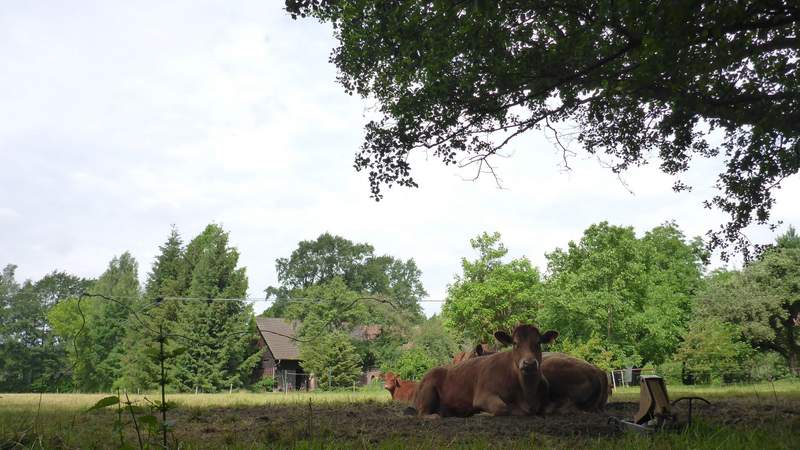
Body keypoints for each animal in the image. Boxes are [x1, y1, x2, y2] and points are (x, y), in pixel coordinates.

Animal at [412, 324, 556, 418]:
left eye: (538, 343)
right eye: (515, 343)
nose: (529, 363)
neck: (527, 392)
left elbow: (549, 409)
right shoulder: (483, 396)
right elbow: (502, 408)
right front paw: (482, 413)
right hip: (428, 391)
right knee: (423, 414)